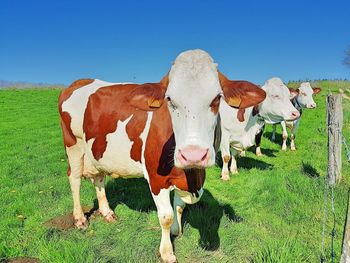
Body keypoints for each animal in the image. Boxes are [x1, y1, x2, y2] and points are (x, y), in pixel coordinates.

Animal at [58, 50, 266, 263]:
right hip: (73, 145)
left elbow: (179, 207)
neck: (192, 177)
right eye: (169, 100)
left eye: (217, 99)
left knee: (99, 179)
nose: (193, 155)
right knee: (74, 179)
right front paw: (167, 252)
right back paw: (79, 219)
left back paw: (107, 212)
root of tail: (79, 81)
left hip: (97, 153)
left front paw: (176, 230)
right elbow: (165, 216)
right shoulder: (156, 178)